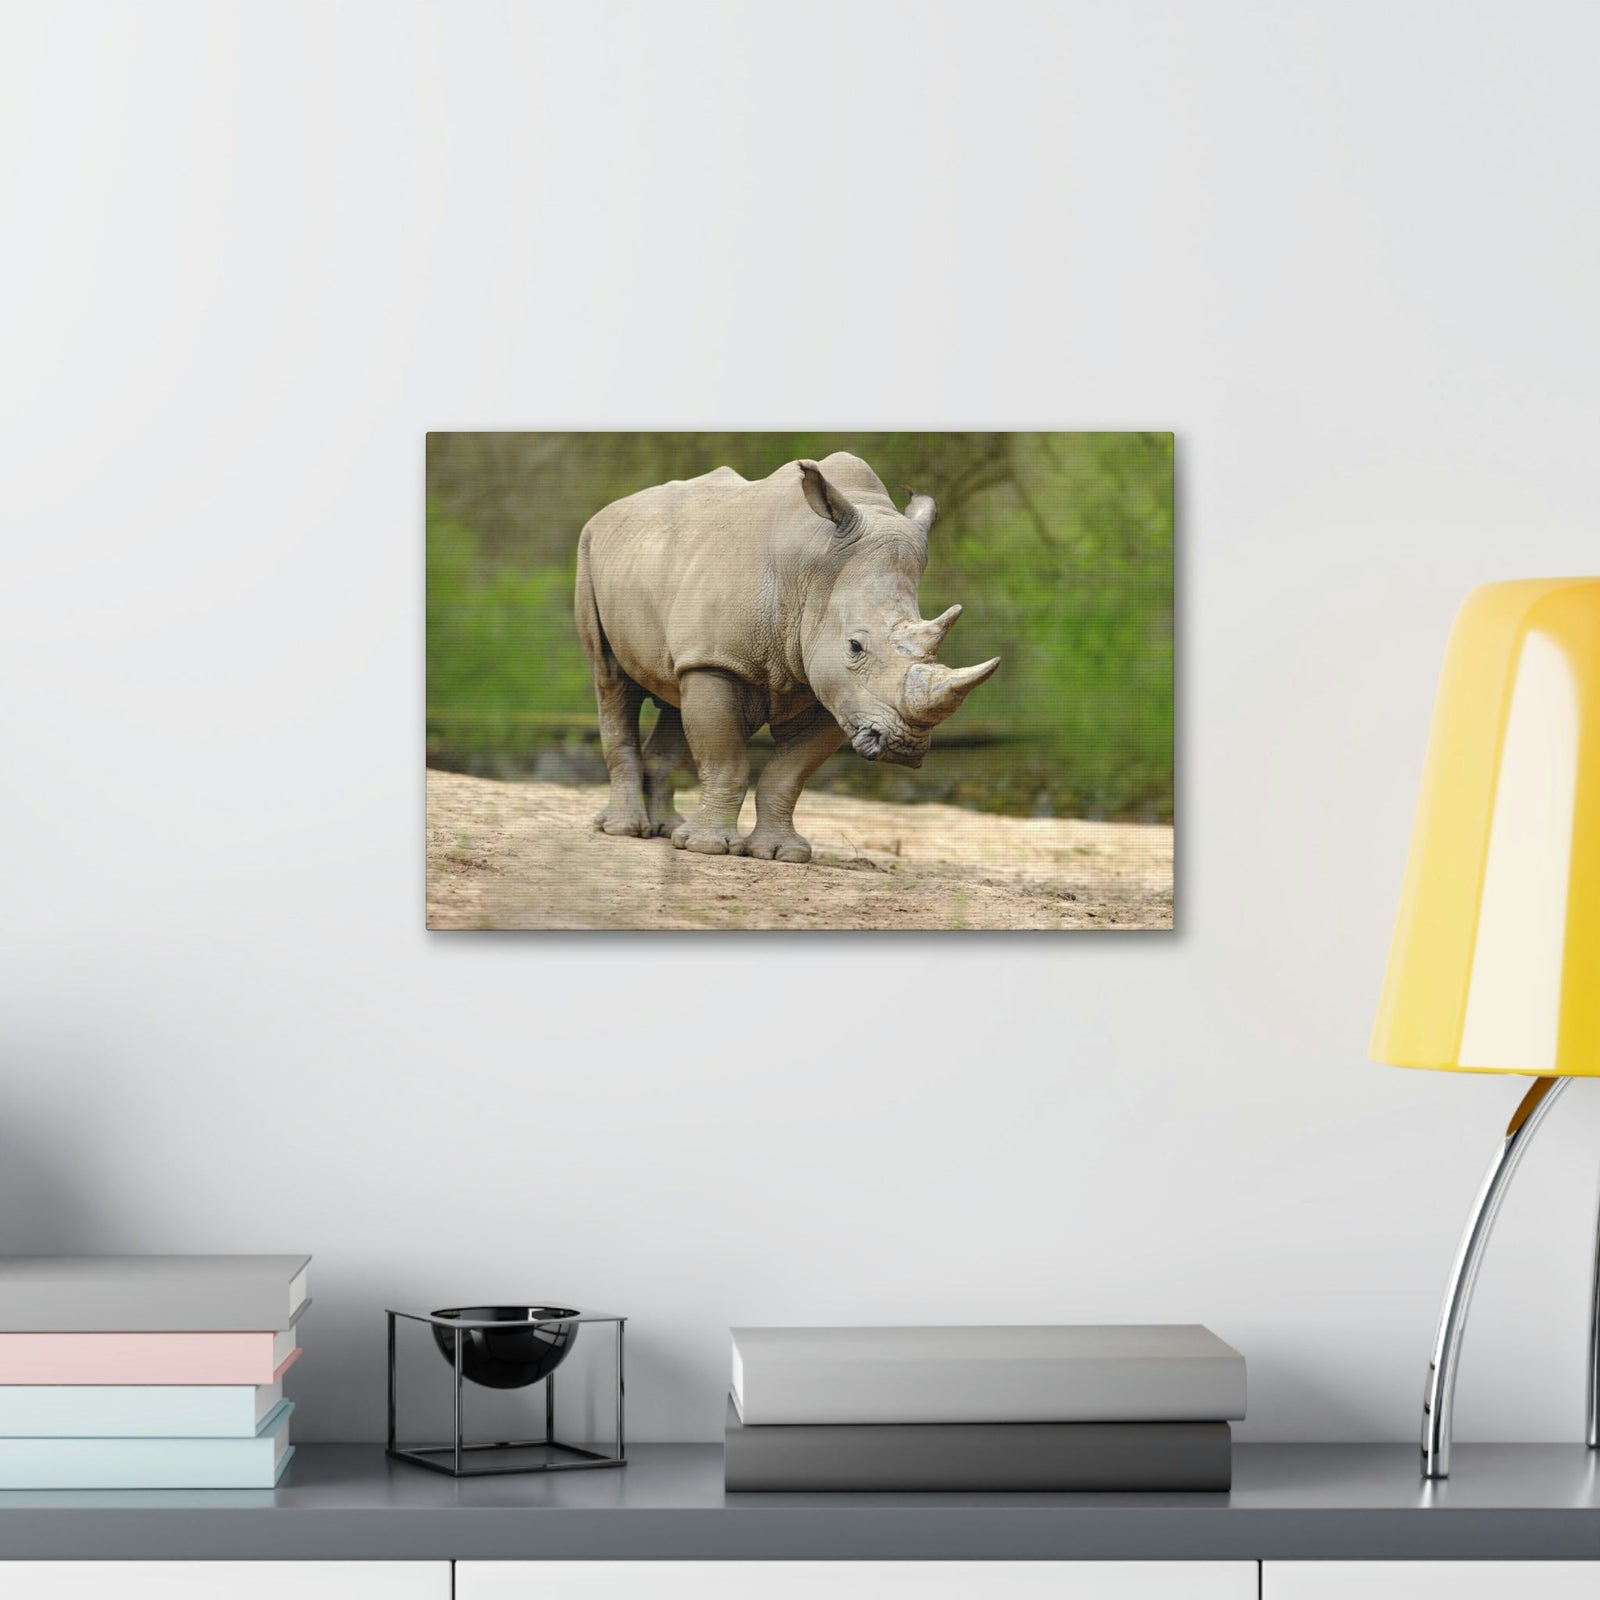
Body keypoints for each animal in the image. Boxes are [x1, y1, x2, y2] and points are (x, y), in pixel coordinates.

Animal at [573, 451, 1000, 863]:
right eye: (855, 647)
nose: (904, 746)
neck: (814, 572)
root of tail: (613, 508)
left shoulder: (837, 692)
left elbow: (788, 775)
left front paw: (782, 853)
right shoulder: (720, 661)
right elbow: (726, 762)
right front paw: (708, 848)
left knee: (674, 693)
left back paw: (666, 830)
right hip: (590, 550)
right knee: (611, 681)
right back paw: (626, 830)